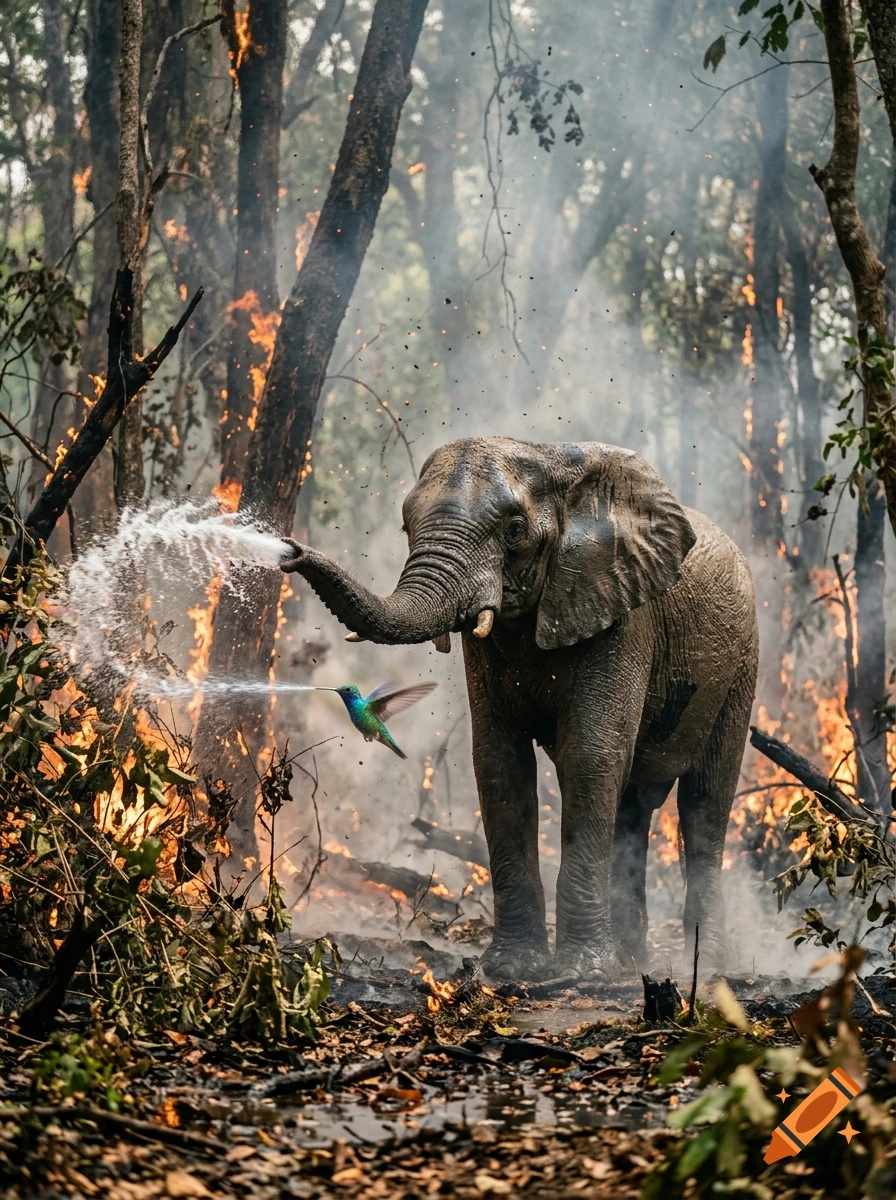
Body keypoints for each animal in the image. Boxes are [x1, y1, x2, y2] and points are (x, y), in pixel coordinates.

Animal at [280, 438, 758, 981]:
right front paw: (513, 970)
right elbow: (498, 763)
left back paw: (703, 966)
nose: (290, 551)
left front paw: (580, 974)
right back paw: (630, 963)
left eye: (514, 529)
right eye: (405, 527)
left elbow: (590, 755)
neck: (550, 458)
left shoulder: (622, 613)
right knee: (633, 809)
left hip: (741, 666)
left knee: (704, 803)